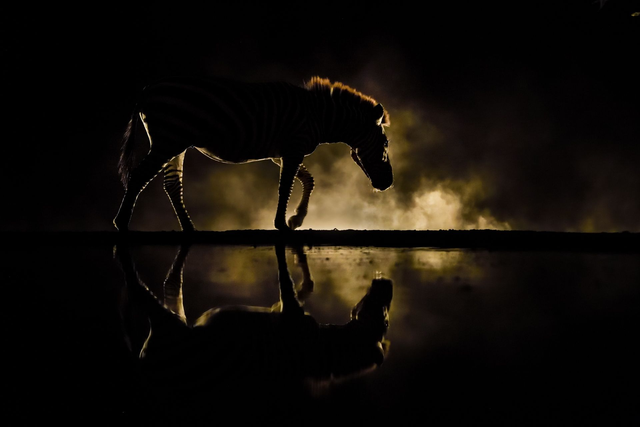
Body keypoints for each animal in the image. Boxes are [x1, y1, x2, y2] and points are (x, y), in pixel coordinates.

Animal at [113, 76, 393, 231]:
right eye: (386, 143)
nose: (388, 184)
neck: (320, 116)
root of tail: (147, 89)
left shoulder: (283, 152)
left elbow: (306, 180)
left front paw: (296, 219)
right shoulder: (294, 147)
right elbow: (285, 186)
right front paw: (282, 224)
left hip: (175, 142)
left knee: (171, 184)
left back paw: (190, 229)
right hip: (168, 140)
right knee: (139, 176)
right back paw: (122, 223)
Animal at [113, 243, 393, 410]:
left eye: (386, 322)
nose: (386, 281)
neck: (325, 348)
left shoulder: (289, 314)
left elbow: (284, 279)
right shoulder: (283, 311)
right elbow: (297, 284)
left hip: (167, 325)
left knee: (142, 288)